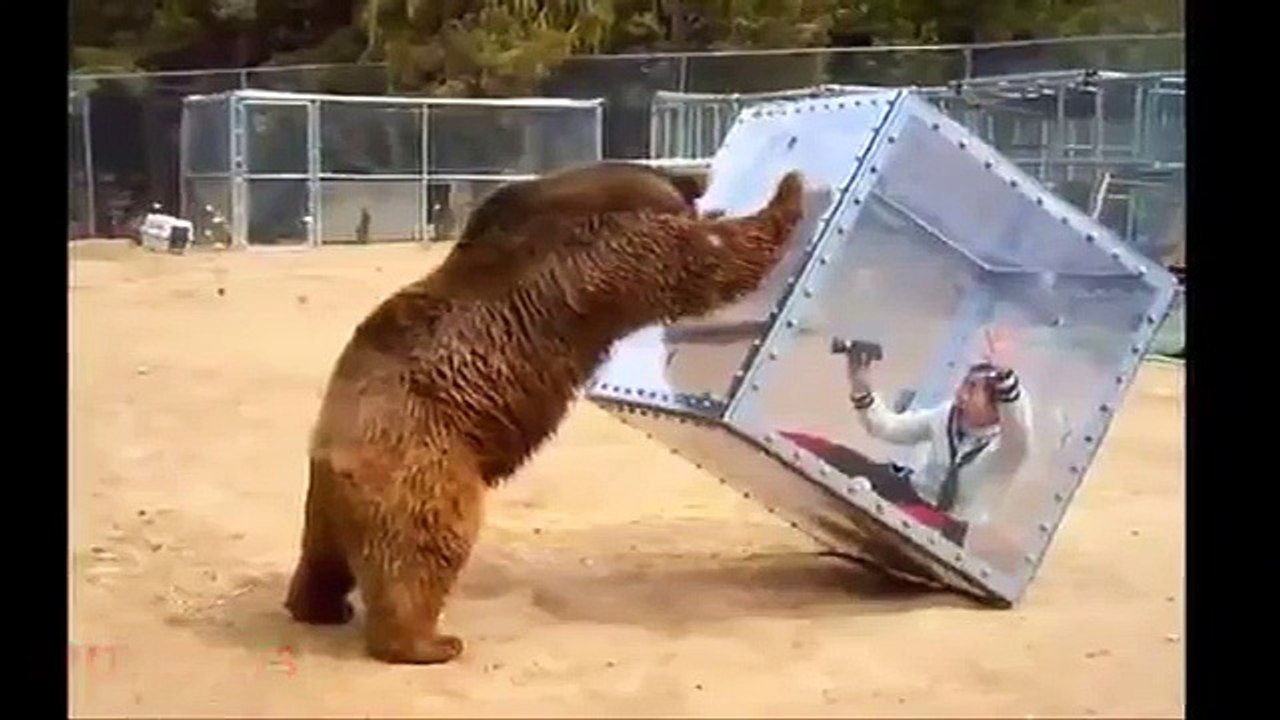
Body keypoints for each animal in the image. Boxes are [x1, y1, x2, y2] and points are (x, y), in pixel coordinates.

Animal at [284, 170, 807, 665]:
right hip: (423, 461)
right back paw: (428, 642)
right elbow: (708, 261)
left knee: (323, 557)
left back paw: (319, 606)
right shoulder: (610, 257)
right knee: (425, 548)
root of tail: (333, 452)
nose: (699, 184)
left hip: (329, 502)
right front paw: (790, 189)